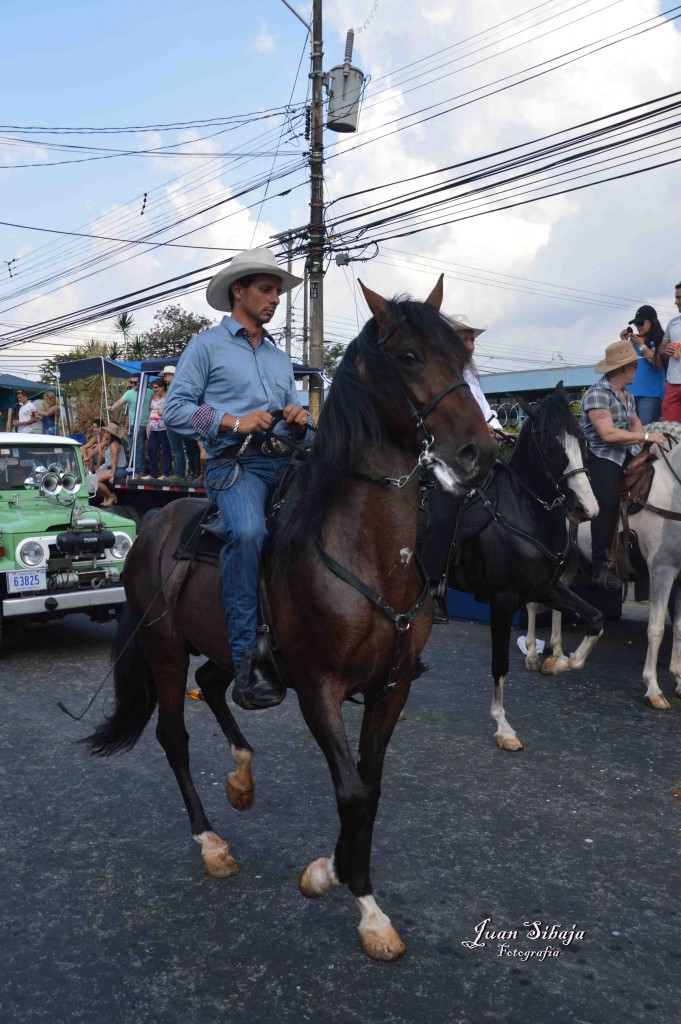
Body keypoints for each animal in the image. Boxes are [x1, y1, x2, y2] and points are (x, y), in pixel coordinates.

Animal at [86, 280, 499, 958]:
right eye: (410, 356)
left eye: (462, 355)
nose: (480, 453)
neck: (368, 553)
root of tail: (150, 524)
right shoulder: (318, 688)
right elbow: (352, 791)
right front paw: (344, 888)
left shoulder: (391, 687)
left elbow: (370, 788)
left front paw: (349, 884)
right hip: (164, 650)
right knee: (174, 735)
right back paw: (211, 842)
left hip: (228, 647)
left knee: (219, 686)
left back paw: (242, 779)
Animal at [450, 385, 602, 753]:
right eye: (550, 445)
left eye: (583, 441)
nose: (587, 509)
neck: (522, 510)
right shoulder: (502, 600)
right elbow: (500, 663)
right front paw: (503, 726)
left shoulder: (547, 587)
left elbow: (595, 619)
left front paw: (559, 663)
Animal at [524, 423, 679, 704]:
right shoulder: (661, 571)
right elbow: (657, 629)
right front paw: (653, 689)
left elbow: (680, 628)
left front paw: (678, 679)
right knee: (532, 602)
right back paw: (531, 656)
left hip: (569, 561)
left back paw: (557, 654)